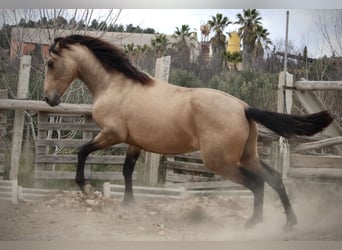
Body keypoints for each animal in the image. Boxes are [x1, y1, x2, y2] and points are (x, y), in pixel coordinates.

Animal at [43, 34, 334, 229]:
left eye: (50, 63)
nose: (49, 99)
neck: (115, 85)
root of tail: (243, 107)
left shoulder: (111, 134)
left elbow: (82, 151)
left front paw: (84, 186)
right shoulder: (134, 142)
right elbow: (126, 170)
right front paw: (128, 203)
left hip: (220, 162)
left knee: (256, 183)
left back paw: (253, 222)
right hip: (247, 155)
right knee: (273, 178)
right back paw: (287, 222)